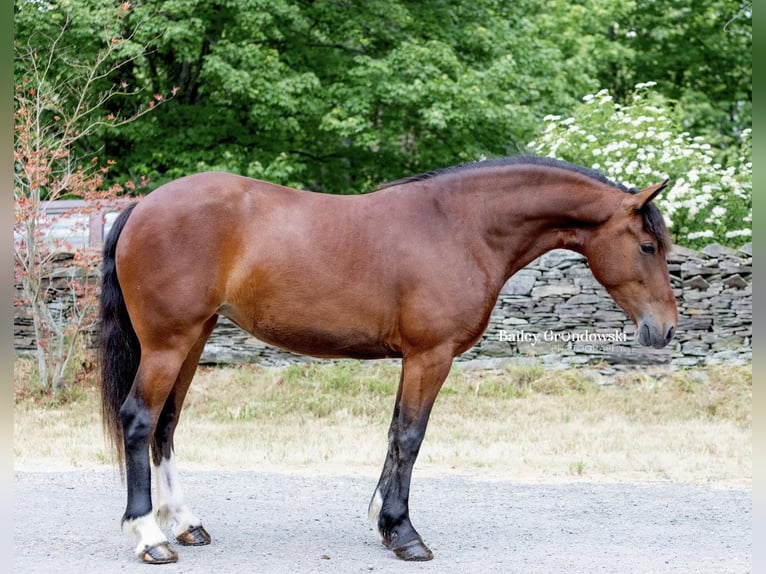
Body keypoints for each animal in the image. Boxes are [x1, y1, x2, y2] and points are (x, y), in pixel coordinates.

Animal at [97, 156, 680, 568]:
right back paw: (149, 536)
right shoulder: (430, 356)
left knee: (166, 424)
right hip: (169, 343)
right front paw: (404, 533)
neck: (459, 226)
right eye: (648, 246)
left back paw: (184, 523)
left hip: (193, 339)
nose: (666, 329)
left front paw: (383, 519)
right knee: (139, 420)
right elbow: (410, 437)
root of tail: (142, 207)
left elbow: (396, 433)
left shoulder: (416, 359)